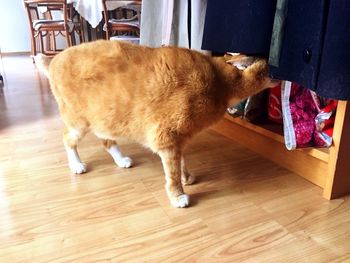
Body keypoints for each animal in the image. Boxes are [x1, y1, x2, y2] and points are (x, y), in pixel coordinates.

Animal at [35, 39, 278, 208]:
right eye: (273, 66)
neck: (219, 80)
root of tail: (53, 59)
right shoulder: (167, 137)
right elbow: (172, 172)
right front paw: (178, 195)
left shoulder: (179, 139)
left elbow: (181, 162)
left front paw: (186, 177)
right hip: (80, 122)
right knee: (67, 139)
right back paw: (77, 165)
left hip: (104, 119)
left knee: (106, 141)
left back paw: (121, 159)